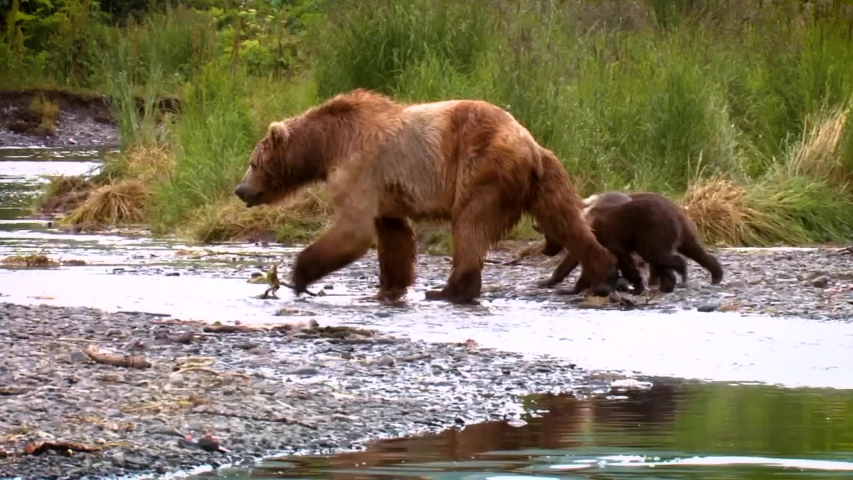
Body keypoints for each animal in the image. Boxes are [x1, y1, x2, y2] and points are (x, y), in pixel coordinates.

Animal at [232, 89, 617, 304]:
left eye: (253, 162)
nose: (240, 189)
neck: (327, 145)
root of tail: (529, 144)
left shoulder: (359, 169)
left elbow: (353, 230)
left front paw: (299, 275)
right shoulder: (385, 192)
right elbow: (394, 235)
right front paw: (388, 288)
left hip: (481, 168)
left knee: (470, 225)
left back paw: (450, 290)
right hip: (547, 177)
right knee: (566, 220)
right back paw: (604, 271)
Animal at [541, 192, 724, 295]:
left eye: (546, 234)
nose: (544, 250)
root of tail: (677, 209)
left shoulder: (608, 239)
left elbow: (620, 259)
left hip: (652, 231)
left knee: (658, 256)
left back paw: (677, 275)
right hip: (673, 232)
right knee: (693, 250)